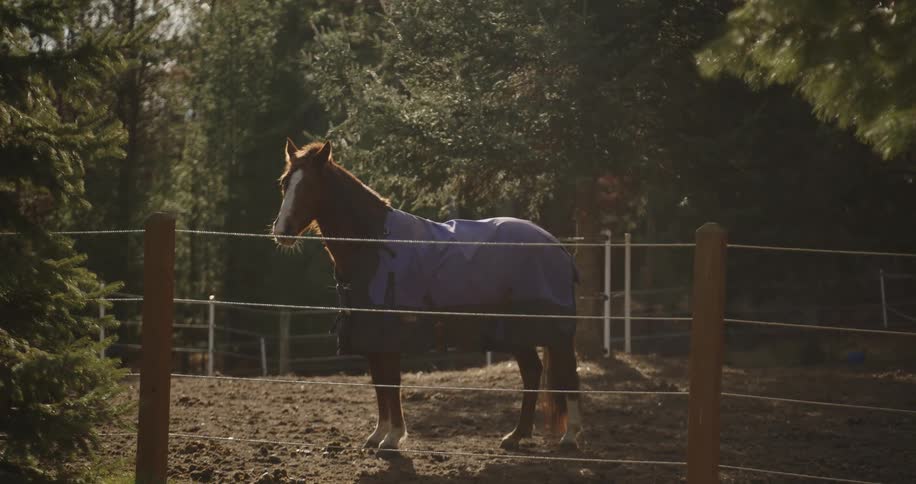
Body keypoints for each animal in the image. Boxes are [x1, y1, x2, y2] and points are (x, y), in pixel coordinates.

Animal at [271, 139, 583, 452]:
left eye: (311, 185)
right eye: (285, 183)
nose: (283, 231)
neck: (374, 244)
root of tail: (555, 244)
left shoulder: (389, 332)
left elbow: (391, 381)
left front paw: (393, 437)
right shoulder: (370, 332)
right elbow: (379, 382)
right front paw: (377, 435)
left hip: (555, 332)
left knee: (568, 374)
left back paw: (569, 437)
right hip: (517, 331)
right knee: (532, 372)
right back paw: (516, 436)